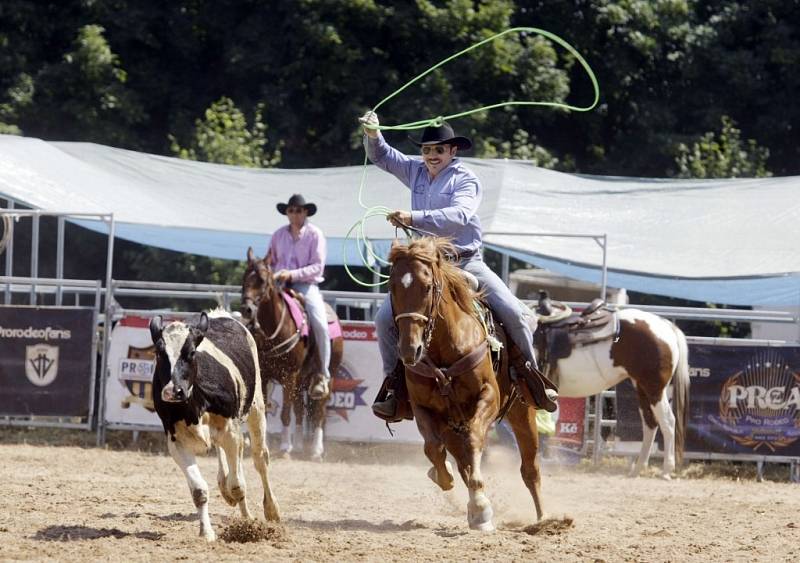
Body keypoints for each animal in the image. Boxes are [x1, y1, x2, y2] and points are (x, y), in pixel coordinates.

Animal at [151, 310, 282, 540]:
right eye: (159, 353)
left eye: (191, 352)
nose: (172, 391)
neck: (194, 405)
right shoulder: (176, 443)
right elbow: (199, 491)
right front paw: (206, 532)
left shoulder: (231, 432)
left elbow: (238, 485)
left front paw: (247, 521)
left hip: (256, 407)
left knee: (260, 459)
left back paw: (270, 509)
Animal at [239, 248, 342, 462]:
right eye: (244, 277)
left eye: (262, 280)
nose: (246, 309)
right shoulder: (265, 375)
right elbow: (267, 411)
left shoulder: (289, 376)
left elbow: (285, 413)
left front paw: (285, 447)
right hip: (301, 380)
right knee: (301, 410)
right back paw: (301, 445)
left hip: (329, 375)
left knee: (319, 411)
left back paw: (315, 450)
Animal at [388, 238, 544, 532]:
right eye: (391, 287)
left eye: (427, 286)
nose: (409, 350)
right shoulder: (424, 409)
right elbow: (433, 449)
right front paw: (445, 478)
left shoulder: (489, 397)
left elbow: (474, 440)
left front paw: (481, 506)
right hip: (452, 424)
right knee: (462, 463)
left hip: (522, 411)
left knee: (530, 469)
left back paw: (543, 520)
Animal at [536, 296, 692, 480]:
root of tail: (666, 326)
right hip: (642, 388)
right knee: (650, 423)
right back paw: (638, 468)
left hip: (655, 389)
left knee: (667, 421)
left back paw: (666, 470)